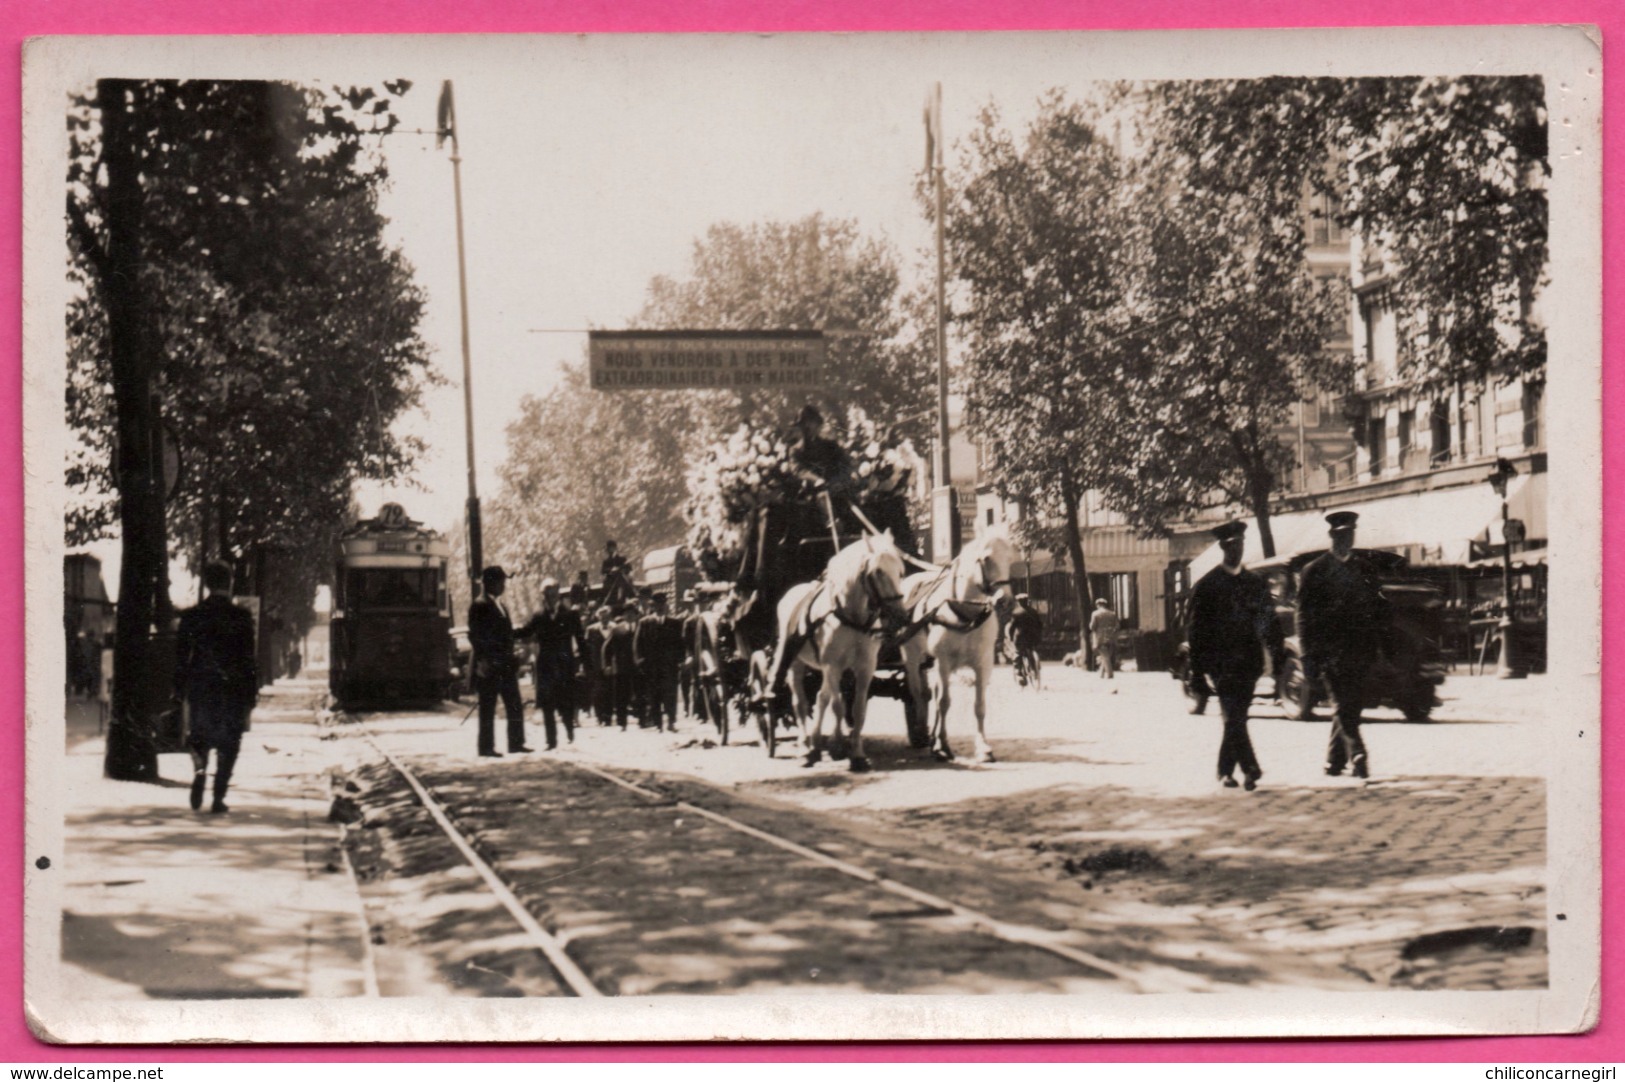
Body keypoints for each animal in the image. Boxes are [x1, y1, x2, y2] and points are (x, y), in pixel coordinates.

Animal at [767, 529, 910, 766]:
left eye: (900, 571)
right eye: (878, 571)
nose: (900, 617)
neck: (850, 616)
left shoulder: (864, 668)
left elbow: (858, 709)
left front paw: (857, 754)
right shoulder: (832, 666)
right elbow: (838, 706)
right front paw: (837, 746)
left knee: (821, 697)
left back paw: (816, 743)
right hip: (796, 664)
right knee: (800, 702)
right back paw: (805, 745)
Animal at [903, 523, 1014, 763]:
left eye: (1010, 558)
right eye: (987, 558)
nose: (1005, 600)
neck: (965, 613)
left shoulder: (984, 663)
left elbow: (979, 706)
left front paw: (983, 747)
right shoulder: (943, 662)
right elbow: (944, 702)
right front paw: (943, 745)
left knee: (931, 694)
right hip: (913, 658)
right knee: (918, 693)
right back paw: (922, 732)